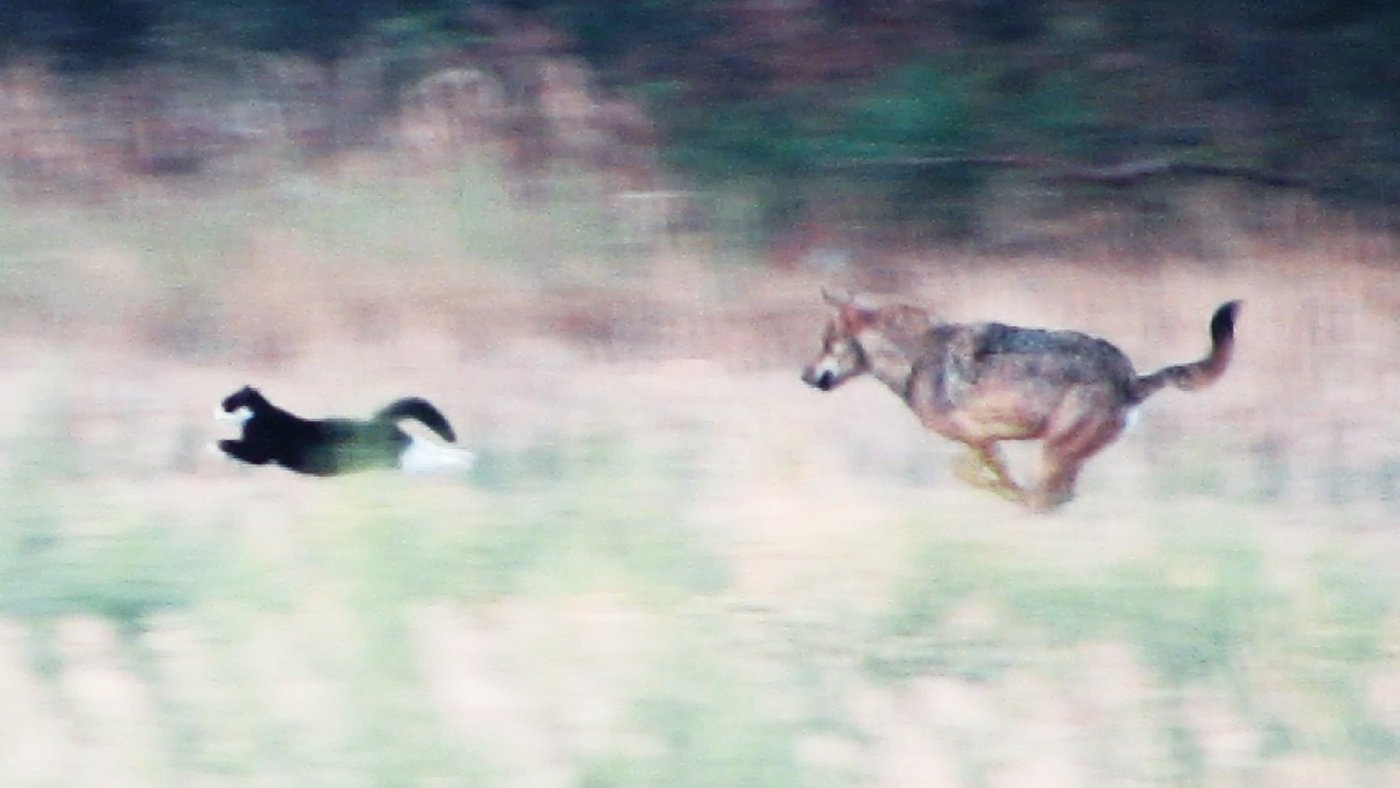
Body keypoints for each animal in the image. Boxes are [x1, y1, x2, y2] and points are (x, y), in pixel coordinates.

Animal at [216, 385, 474, 476]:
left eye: (226, 403)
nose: (215, 409)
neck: (259, 415)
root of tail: (379, 422)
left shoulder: (260, 451)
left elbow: (234, 446)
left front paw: (215, 445)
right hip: (397, 456)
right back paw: (467, 457)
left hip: (397, 455)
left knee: (426, 451)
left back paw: (466, 457)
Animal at [801, 290, 1240, 510]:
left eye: (825, 343)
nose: (804, 376)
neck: (915, 358)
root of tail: (1130, 377)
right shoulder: (984, 440)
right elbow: (968, 470)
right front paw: (1003, 487)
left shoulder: (979, 437)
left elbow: (971, 471)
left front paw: (1007, 489)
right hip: (1064, 453)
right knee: (1061, 497)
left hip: (1054, 449)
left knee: (1049, 498)